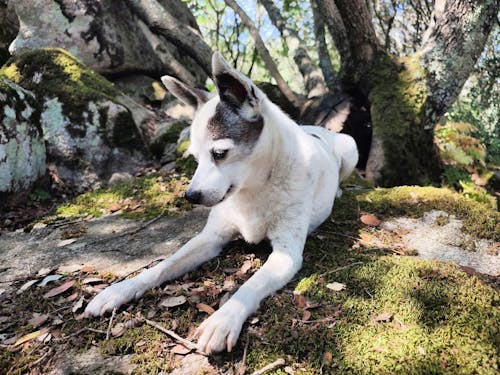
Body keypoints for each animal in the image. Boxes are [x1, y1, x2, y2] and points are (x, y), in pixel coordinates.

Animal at [86, 52, 360, 356]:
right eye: (194, 157)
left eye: (219, 153)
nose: (190, 196)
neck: (255, 188)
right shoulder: (211, 238)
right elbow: (164, 265)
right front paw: (121, 289)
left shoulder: (286, 254)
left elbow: (251, 284)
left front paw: (223, 320)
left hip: (350, 147)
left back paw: (338, 191)